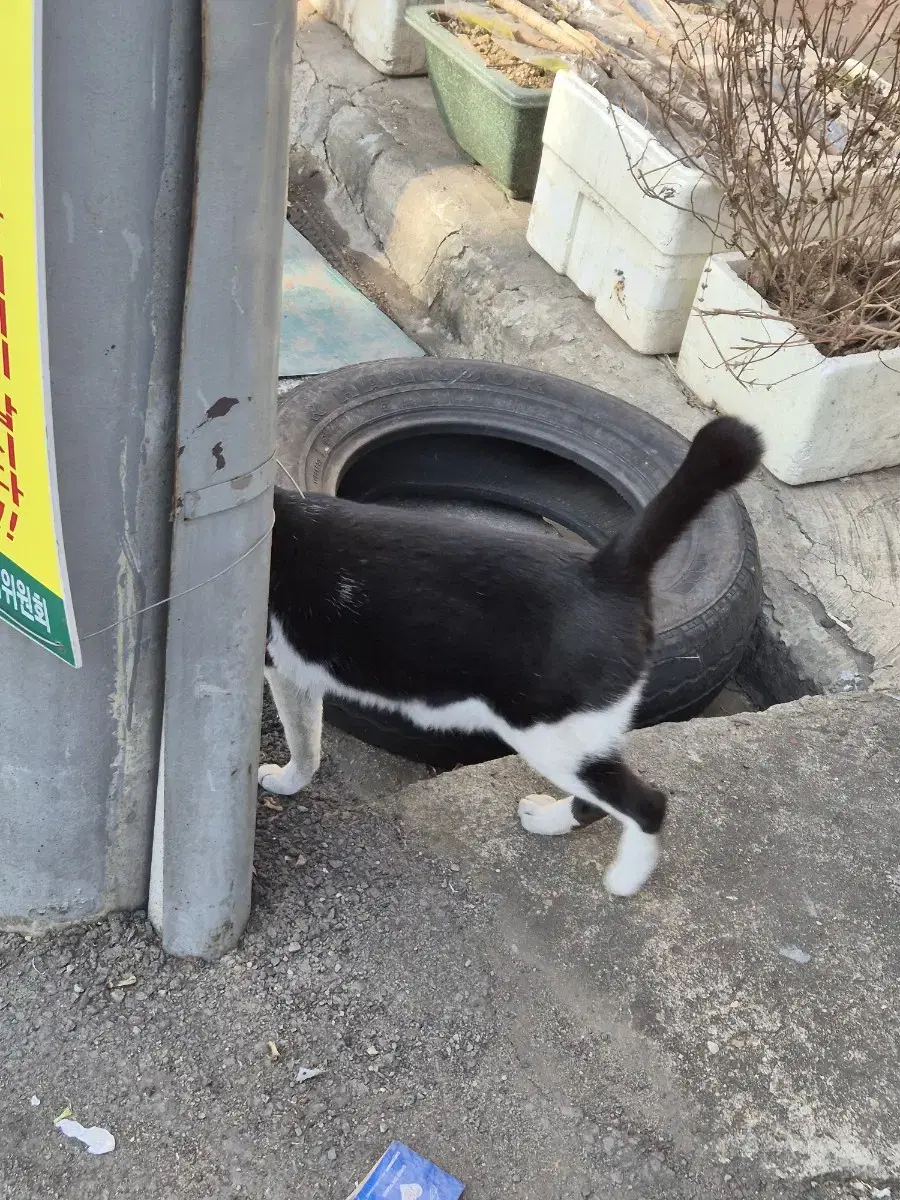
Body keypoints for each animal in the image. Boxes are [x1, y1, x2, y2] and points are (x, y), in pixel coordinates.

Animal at [259, 417, 763, 897]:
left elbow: (297, 736)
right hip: (579, 738)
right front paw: (293, 782)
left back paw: (625, 878)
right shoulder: (296, 676)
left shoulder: (275, 669)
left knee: (646, 804)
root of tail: (605, 569)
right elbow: (308, 743)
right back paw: (550, 822)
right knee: (600, 798)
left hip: (549, 735)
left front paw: (282, 784)